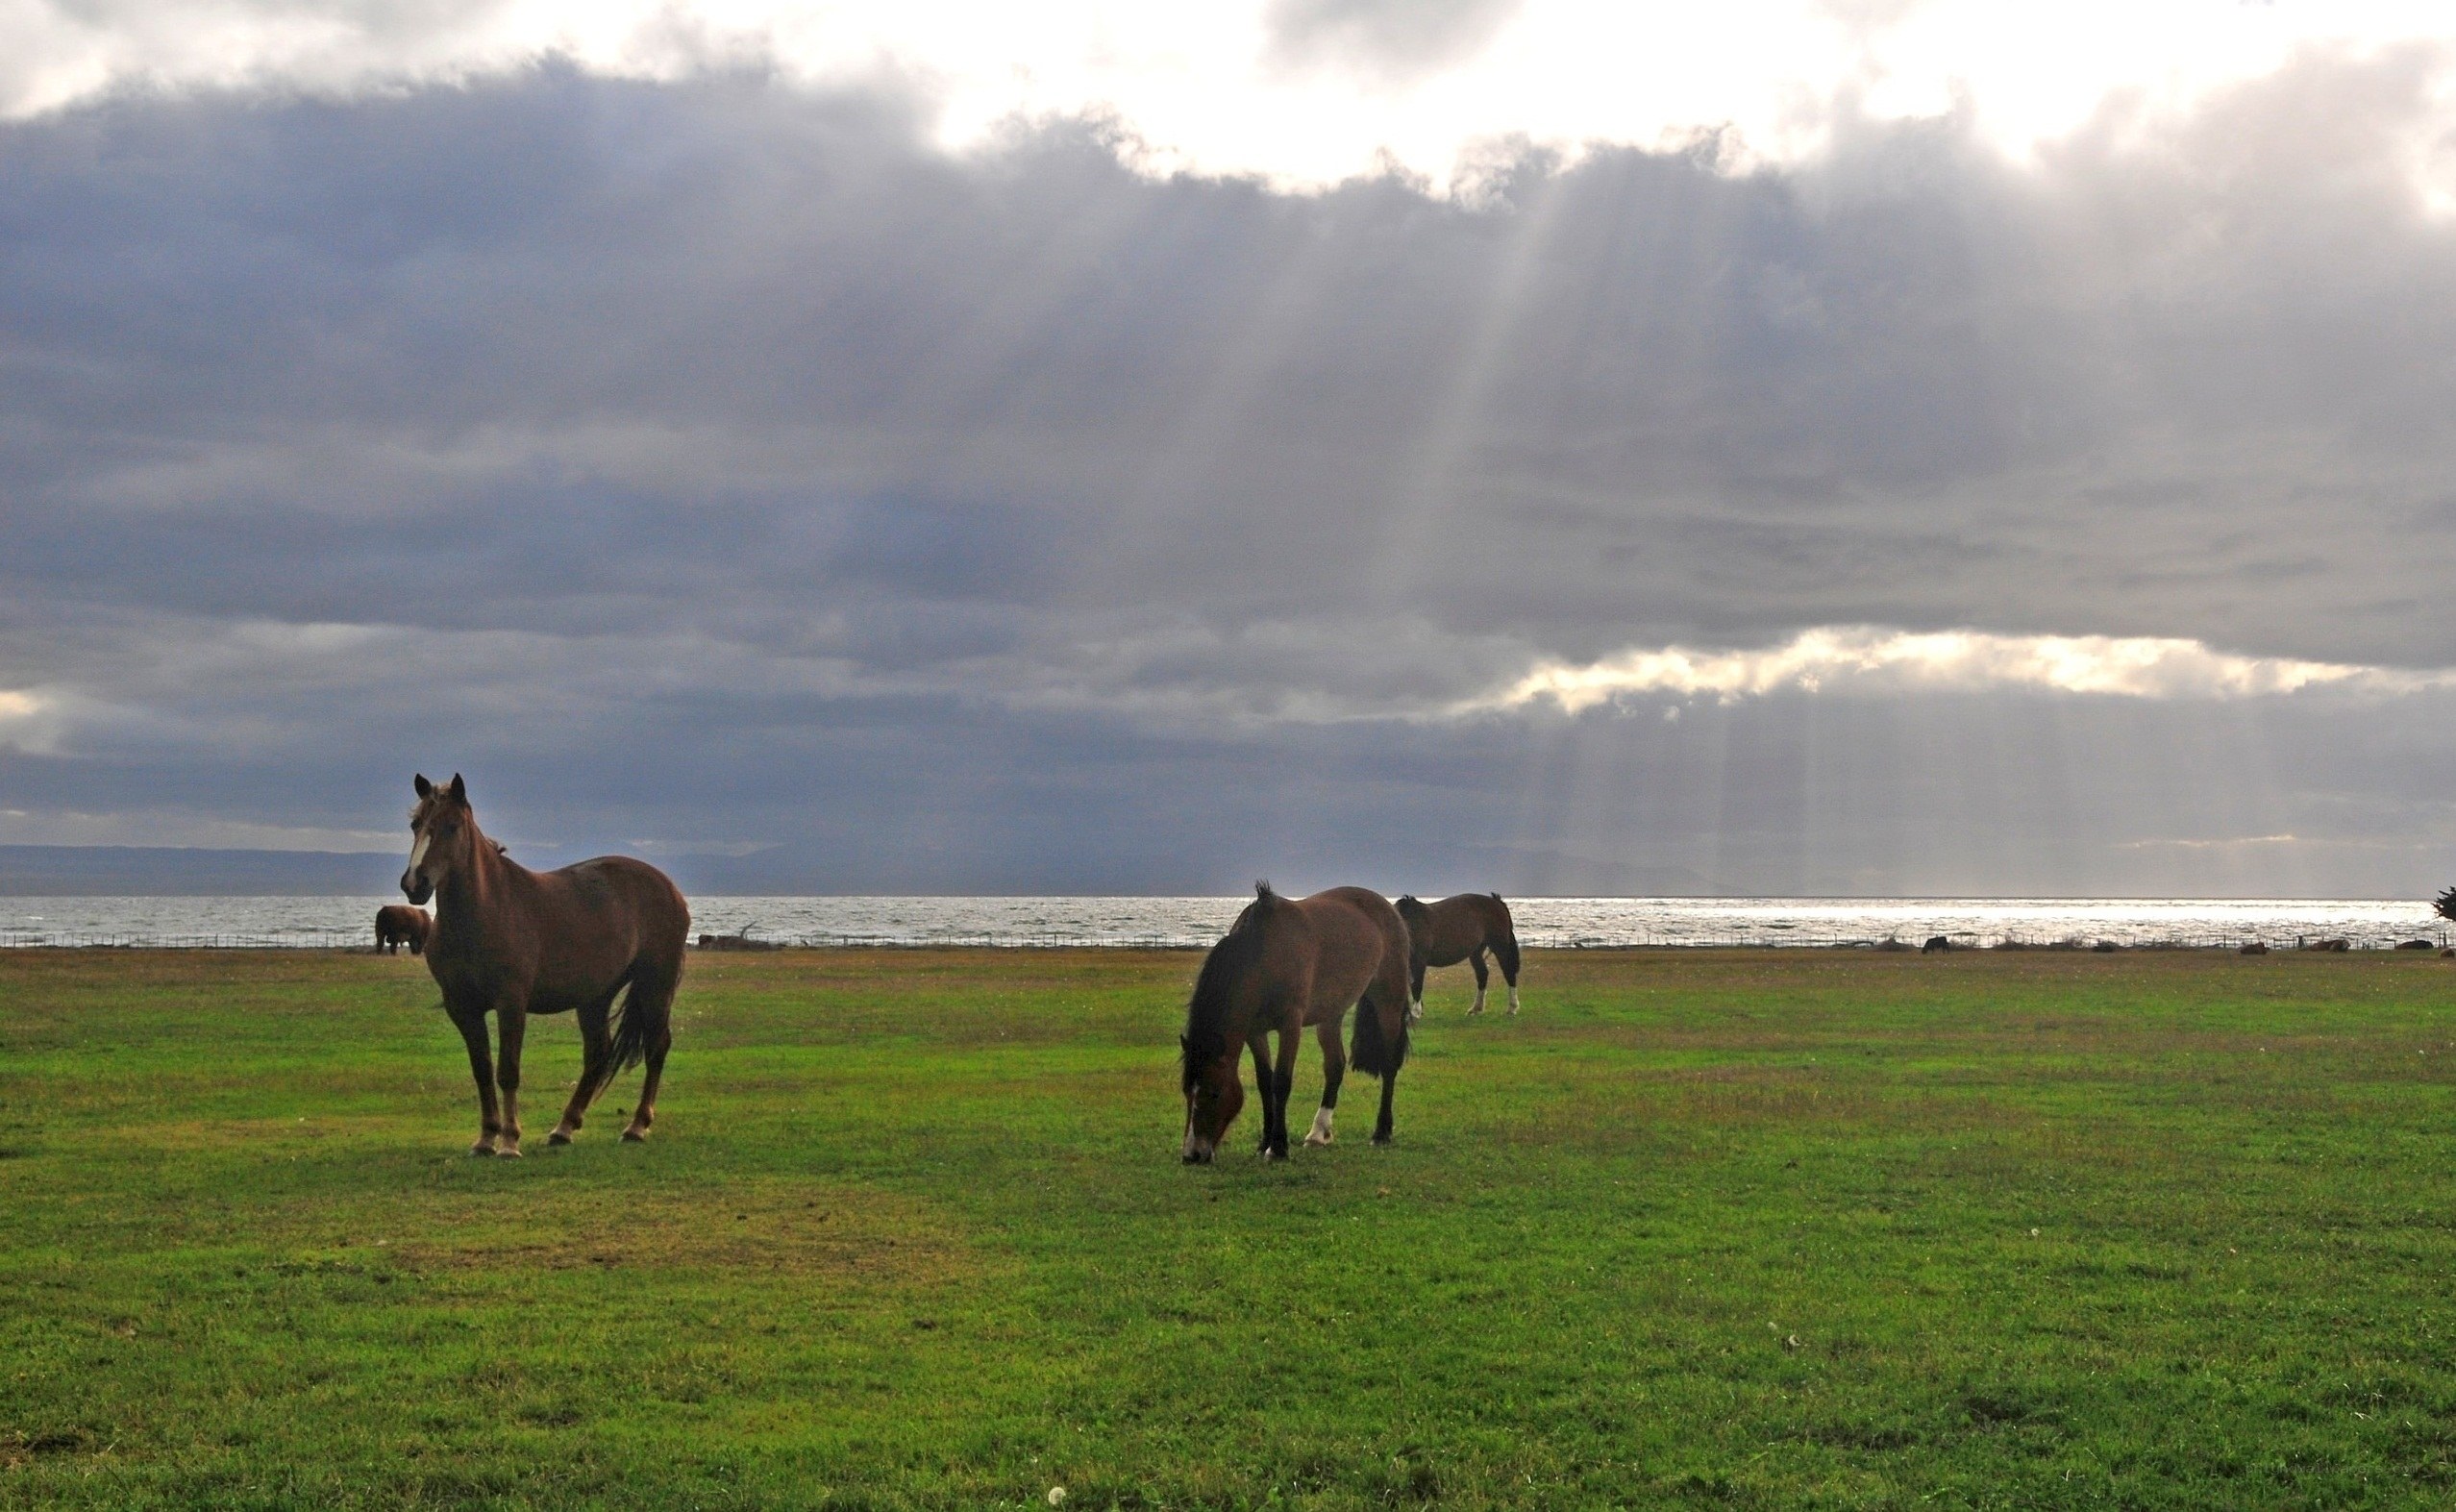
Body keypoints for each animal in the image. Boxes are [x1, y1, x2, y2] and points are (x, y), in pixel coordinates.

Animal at [401, 773, 690, 1156]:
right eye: (416, 824)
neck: (484, 912)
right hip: (595, 997)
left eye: (452, 826)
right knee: (598, 1053)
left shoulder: (511, 1003)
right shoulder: (462, 1008)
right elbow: (482, 1071)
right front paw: (486, 1138)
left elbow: (507, 1071)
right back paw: (564, 1128)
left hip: (655, 986)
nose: (414, 883)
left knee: (656, 1047)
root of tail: (670, 888)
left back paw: (637, 1126)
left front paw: (509, 1141)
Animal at [1179, 883, 1413, 1163]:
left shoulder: (1290, 1023)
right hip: (1330, 1014)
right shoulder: (1254, 1032)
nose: (1192, 1154)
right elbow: (1264, 1082)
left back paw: (1381, 1132)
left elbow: (1281, 1081)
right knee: (1335, 1066)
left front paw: (1278, 1147)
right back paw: (1318, 1133)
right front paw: (1264, 1142)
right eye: (1185, 1091)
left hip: (1388, 1002)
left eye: (1214, 1092)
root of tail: (1388, 908)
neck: (1263, 954)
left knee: (1389, 1066)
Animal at [1393, 893, 1522, 1017]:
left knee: (1508, 972)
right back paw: (1476, 1008)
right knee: (1482, 974)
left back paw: (1512, 1008)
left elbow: (1416, 986)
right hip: (1476, 952)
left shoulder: (1419, 961)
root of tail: (1497, 902)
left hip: (1499, 947)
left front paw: (1416, 1013)